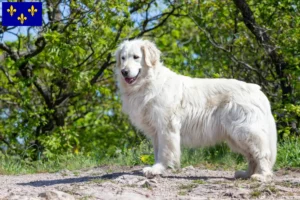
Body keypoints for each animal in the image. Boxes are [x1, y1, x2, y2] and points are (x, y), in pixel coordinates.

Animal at [114, 38, 276, 181]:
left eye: (136, 57)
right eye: (123, 58)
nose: (124, 71)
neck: (149, 83)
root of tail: (258, 91)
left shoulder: (166, 127)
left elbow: (164, 152)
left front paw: (157, 169)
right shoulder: (156, 131)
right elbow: (157, 151)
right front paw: (156, 168)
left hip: (245, 131)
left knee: (263, 154)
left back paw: (262, 176)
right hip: (236, 136)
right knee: (251, 156)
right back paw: (246, 174)